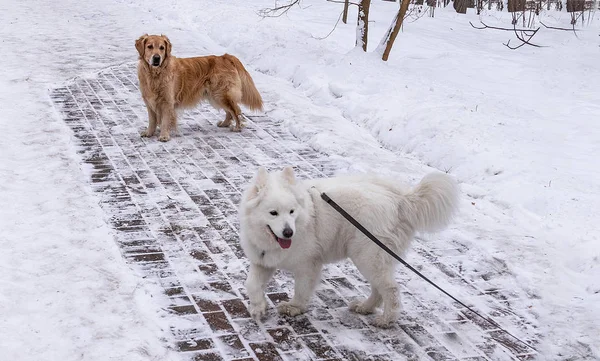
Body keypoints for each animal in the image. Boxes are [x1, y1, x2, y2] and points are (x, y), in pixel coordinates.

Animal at [237, 166, 458, 326]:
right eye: (273, 213)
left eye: (291, 212)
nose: (288, 232)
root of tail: (401, 200)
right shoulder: (263, 260)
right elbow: (251, 284)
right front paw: (258, 307)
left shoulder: (307, 265)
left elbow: (301, 290)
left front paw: (294, 308)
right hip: (371, 258)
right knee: (379, 289)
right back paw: (365, 307)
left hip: (368, 257)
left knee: (391, 290)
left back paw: (386, 320)